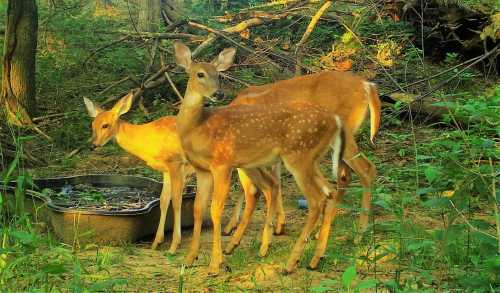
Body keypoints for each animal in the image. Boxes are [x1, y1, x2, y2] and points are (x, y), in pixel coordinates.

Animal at [174, 41, 346, 274]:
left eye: (219, 75)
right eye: (200, 74)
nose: (219, 93)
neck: (198, 128)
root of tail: (335, 121)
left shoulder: (222, 164)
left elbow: (215, 209)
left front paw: (215, 264)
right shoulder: (202, 169)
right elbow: (198, 209)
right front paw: (190, 258)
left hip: (298, 156)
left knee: (315, 199)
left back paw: (290, 262)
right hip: (311, 158)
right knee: (330, 192)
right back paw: (314, 259)